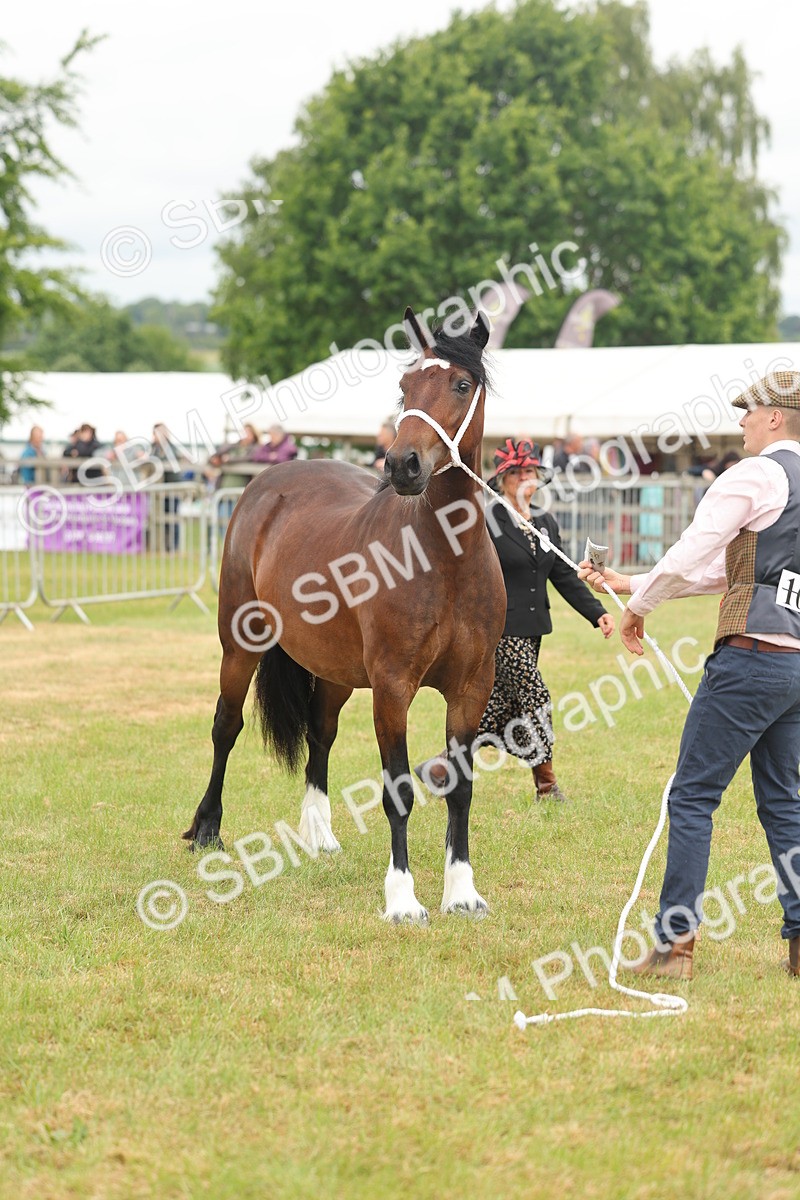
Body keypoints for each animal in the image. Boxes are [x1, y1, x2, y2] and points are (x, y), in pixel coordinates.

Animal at [183, 308, 507, 921]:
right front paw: (403, 900)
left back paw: (320, 835)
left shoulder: (470, 689)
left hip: (333, 670)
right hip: (240, 646)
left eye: (461, 384)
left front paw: (463, 892)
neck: (445, 561)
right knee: (226, 726)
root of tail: (266, 483)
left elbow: (462, 787)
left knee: (320, 733)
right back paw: (206, 829)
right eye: (404, 386)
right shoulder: (393, 688)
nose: (402, 464)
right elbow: (398, 791)